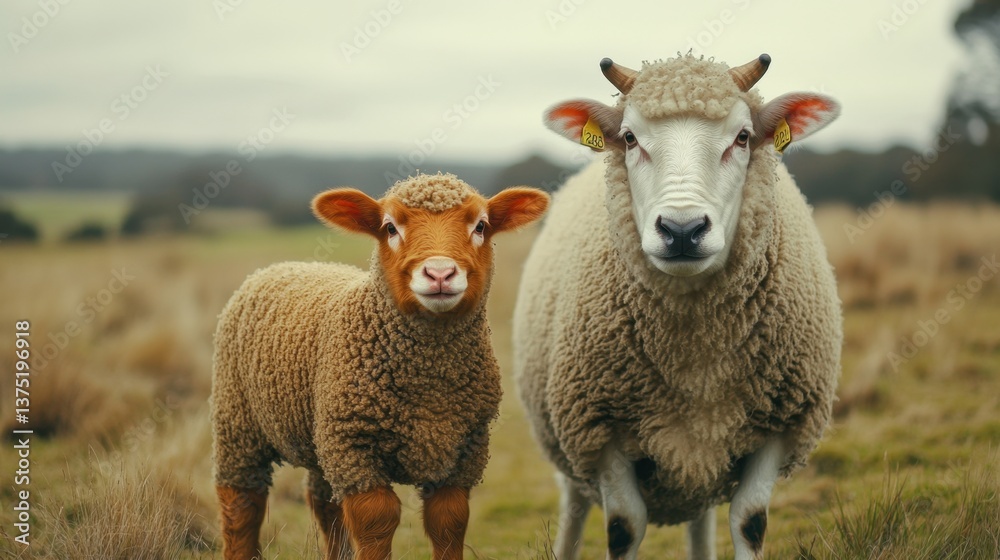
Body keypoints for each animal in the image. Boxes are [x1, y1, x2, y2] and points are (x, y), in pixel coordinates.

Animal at [211, 173, 549, 560]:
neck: (430, 385)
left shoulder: (465, 449)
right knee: (241, 504)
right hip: (239, 421)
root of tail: (283, 265)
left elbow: (449, 521)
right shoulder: (355, 447)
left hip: (321, 436)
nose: (440, 273)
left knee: (323, 502)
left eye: (480, 226)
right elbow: (377, 520)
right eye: (390, 227)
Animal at [514, 53, 842, 560]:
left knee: (700, 520)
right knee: (573, 507)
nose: (683, 230)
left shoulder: (781, 424)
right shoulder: (602, 432)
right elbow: (624, 527)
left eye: (743, 137)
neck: (696, 357)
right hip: (569, 441)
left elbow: (750, 521)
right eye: (629, 138)